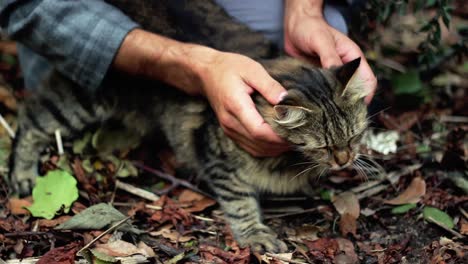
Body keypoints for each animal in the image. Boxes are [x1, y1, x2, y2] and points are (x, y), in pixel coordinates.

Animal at [8, 0, 370, 253]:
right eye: (323, 146)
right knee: (31, 118)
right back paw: (22, 175)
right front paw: (255, 235)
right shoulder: (218, 158)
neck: (288, 159)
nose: (345, 160)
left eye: (354, 137)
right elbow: (240, 203)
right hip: (82, 97)